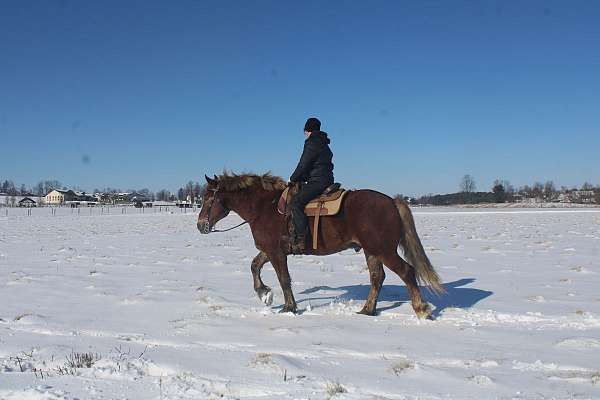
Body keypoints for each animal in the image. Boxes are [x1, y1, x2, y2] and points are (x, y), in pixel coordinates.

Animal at [197, 172, 446, 318]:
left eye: (208, 198)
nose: (200, 225)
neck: (264, 207)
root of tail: (391, 201)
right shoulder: (270, 250)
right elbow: (254, 266)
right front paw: (264, 294)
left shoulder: (276, 252)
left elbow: (284, 278)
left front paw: (289, 307)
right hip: (372, 250)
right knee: (377, 277)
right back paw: (367, 310)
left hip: (384, 250)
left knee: (407, 271)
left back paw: (422, 309)